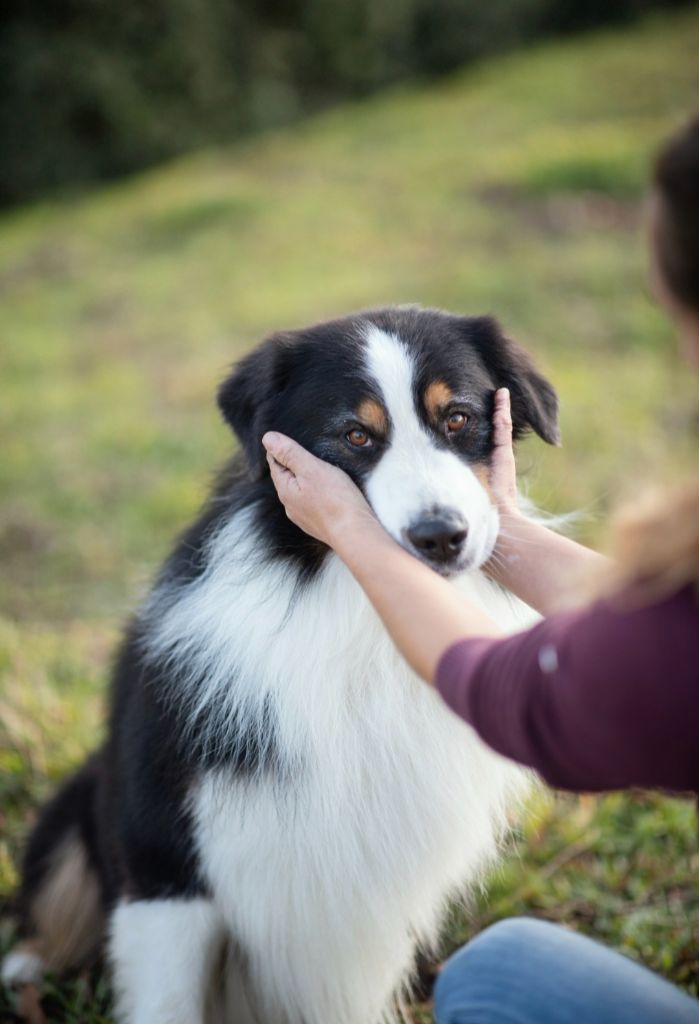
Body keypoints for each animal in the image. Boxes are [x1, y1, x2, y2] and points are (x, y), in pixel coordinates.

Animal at [2, 305, 560, 1024]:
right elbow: (167, 999)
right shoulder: (167, 862)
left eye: (458, 419)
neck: (356, 611)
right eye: (355, 435)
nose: (441, 538)